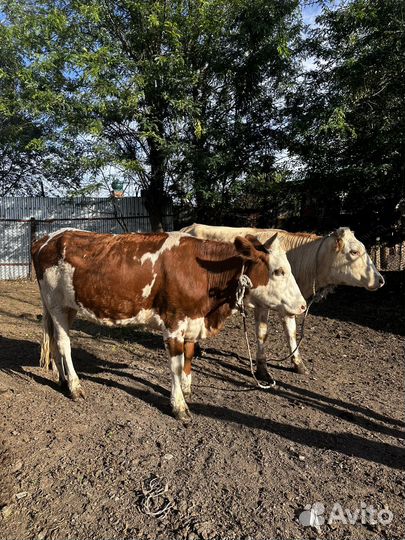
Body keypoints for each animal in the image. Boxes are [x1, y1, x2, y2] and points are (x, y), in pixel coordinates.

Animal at [31, 228, 304, 422]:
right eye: (278, 271)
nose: (302, 306)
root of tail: (47, 237)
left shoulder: (193, 323)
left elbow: (189, 358)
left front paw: (186, 389)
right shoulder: (174, 322)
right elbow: (175, 365)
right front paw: (179, 405)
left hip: (67, 307)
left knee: (54, 340)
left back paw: (62, 379)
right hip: (56, 304)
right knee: (63, 343)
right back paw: (75, 386)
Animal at [181, 221, 384, 378]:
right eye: (354, 252)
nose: (381, 280)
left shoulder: (290, 304)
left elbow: (291, 332)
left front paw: (299, 364)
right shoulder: (262, 303)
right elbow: (262, 334)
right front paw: (263, 369)